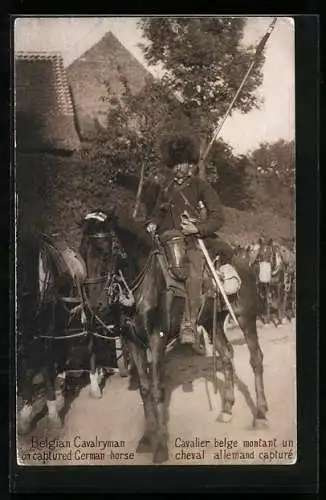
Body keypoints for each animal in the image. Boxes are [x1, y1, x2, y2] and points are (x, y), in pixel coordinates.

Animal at [102, 205, 268, 462]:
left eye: (102, 244)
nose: (98, 298)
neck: (146, 283)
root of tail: (245, 264)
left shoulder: (157, 339)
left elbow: (157, 390)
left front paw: (161, 447)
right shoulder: (133, 342)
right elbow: (144, 390)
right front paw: (147, 439)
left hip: (245, 317)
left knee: (256, 358)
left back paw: (259, 414)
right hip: (211, 323)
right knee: (227, 356)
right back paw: (227, 409)